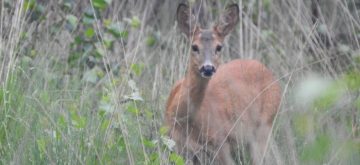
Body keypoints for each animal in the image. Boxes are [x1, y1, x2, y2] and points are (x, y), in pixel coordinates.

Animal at [166, 2, 282, 165]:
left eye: (218, 47)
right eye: (194, 46)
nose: (208, 68)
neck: (184, 120)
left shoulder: (220, 142)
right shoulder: (177, 145)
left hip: (264, 125)